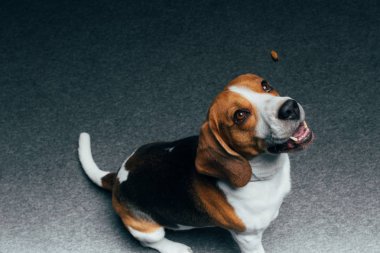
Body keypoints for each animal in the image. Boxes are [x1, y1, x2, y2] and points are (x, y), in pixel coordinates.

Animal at [78, 73, 314, 253]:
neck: (260, 175)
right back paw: (176, 248)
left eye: (265, 85)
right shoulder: (247, 238)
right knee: (150, 242)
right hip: (147, 229)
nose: (290, 108)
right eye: (240, 115)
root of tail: (118, 177)